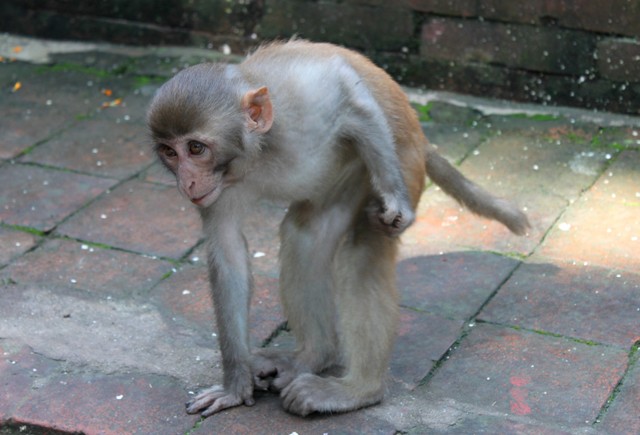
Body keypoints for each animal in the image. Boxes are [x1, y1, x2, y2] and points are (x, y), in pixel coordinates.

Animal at [147, 40, 530, 418]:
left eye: (196, 148)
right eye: (169, 152)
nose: (186, 182)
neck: (258, 153)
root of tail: (420, 137)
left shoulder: (303, 99)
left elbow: (350, 94)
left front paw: (396, 201)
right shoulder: (218, 190)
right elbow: (228, 255)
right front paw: (235, 386)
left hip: (399, 159)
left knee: (364, 253)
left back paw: (358, 390)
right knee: (307, 238)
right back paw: (311, 357)